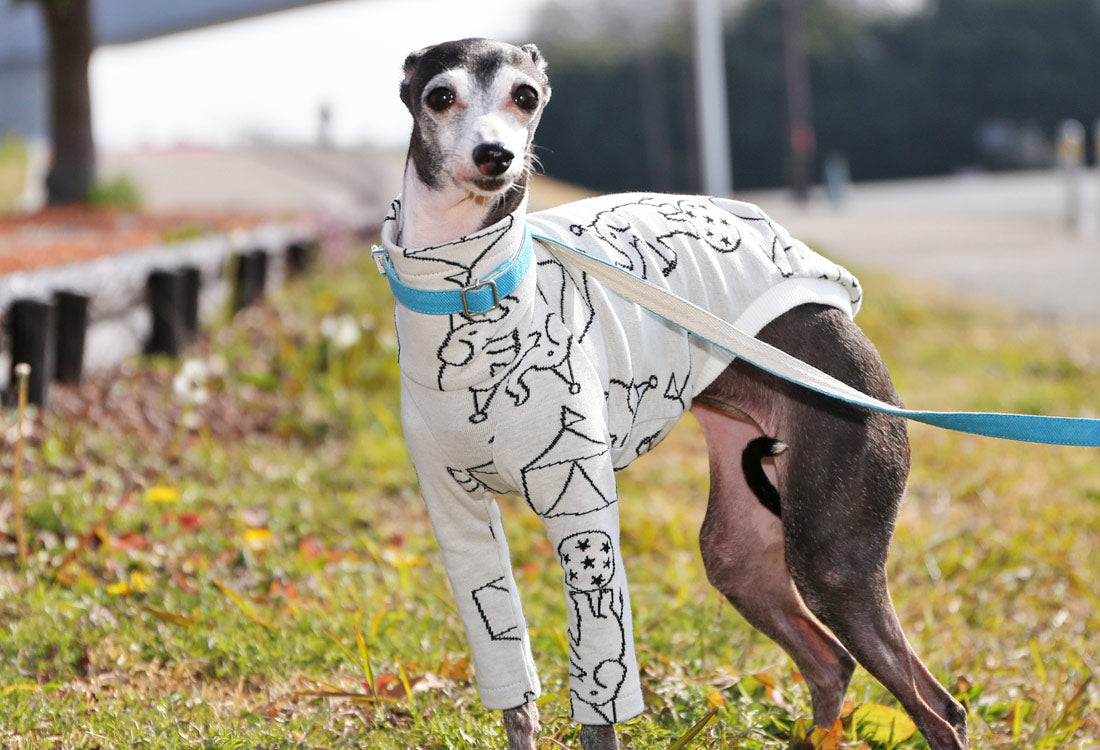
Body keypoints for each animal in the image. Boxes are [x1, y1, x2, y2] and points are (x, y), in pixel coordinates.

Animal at [376, 39, 963, 747]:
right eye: (440, 96)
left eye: (526, 96)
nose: (497, 157)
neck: (468, 286)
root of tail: (836, 311)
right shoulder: (459, 523)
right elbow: (512, 686)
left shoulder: (584, 514)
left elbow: (599, 695)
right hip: (741, 552)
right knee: (835, 663)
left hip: (830, 554)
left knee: (939, 711)